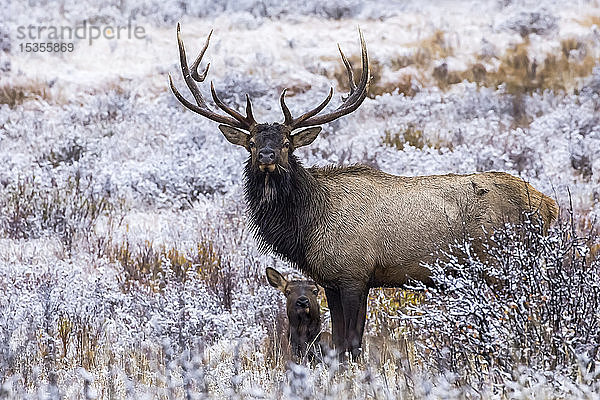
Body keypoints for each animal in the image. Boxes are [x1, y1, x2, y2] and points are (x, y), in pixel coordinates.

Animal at [169, 25, 556, 358]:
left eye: (287, 143)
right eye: (251, 142)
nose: (266, 156)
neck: (307, 226)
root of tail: (548, 204)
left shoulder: (355, 273)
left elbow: (353, 343)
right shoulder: (329, 280)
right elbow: (340, 341)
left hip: (503, 262)